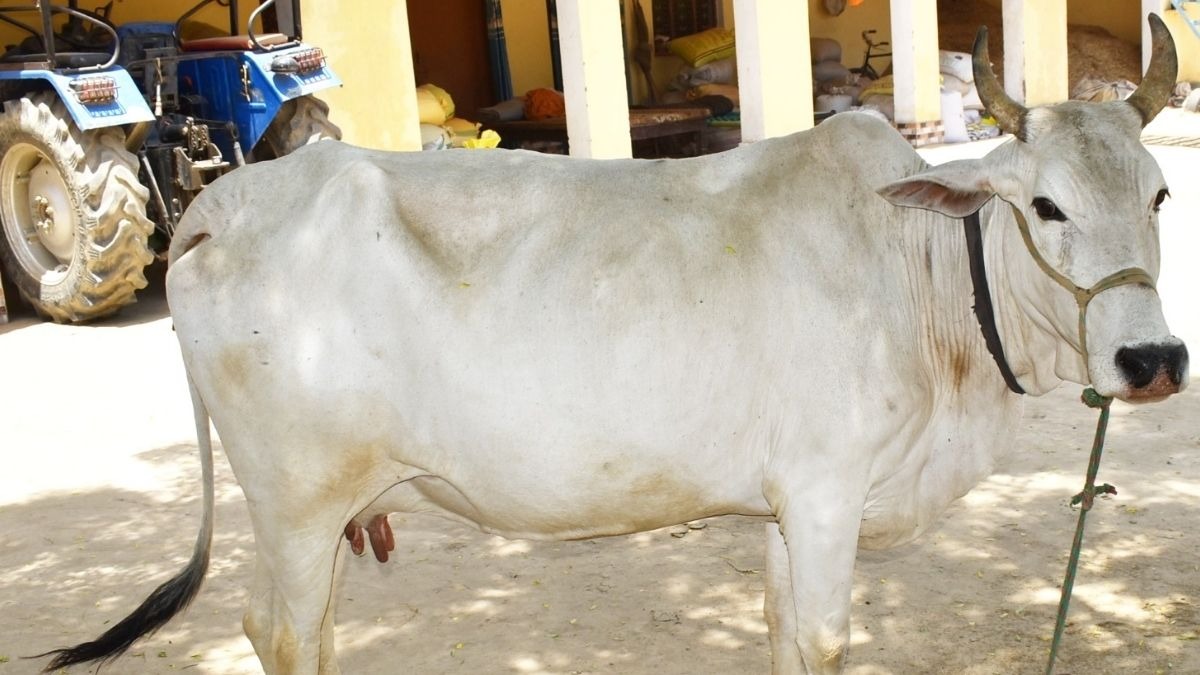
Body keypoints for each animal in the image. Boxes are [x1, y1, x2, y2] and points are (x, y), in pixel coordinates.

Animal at [41, 17, 1186, 675]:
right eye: (1045, 206)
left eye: (1162, 194)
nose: (1154, 362)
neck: (918, 272)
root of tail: (230, 200)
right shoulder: (826, 493)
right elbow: (824, 640)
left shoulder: (787, 507)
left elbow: (783, 635)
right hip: (297, 501)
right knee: (280, 633)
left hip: (311, 514)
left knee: (298, 629)